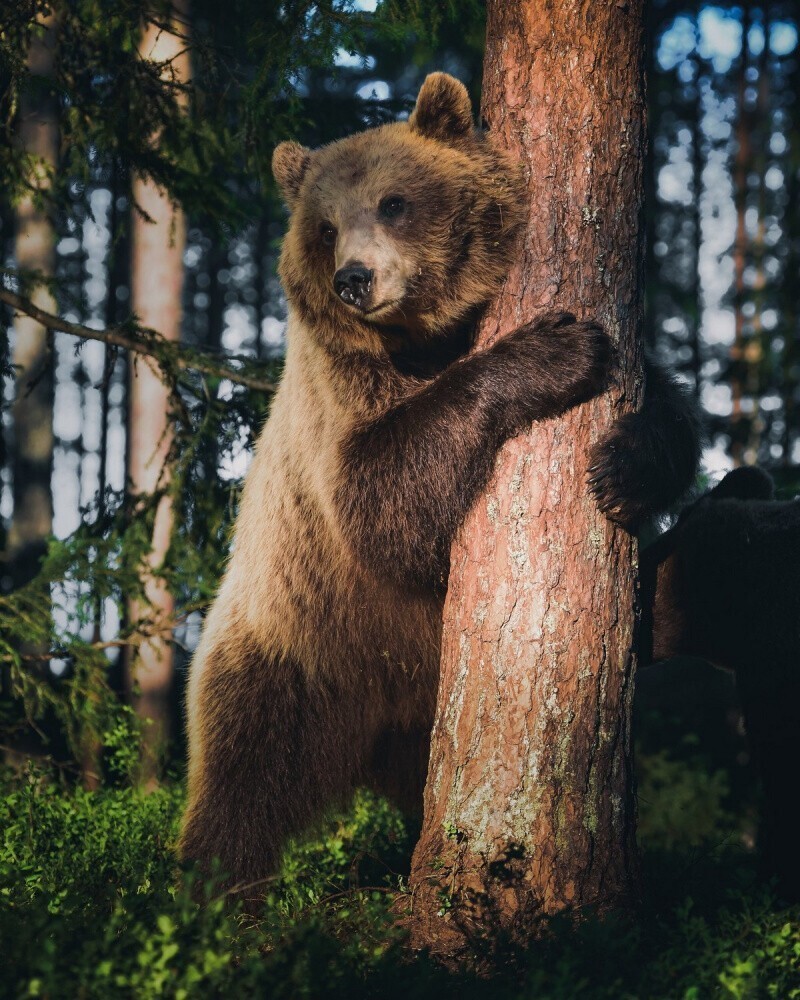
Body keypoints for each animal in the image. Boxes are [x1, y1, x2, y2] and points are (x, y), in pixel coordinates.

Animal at [180, 70, 700, 888]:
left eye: (393, 201)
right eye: (323, 226)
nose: (355, 279)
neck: (428, 336)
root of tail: (375, 724)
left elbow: (666, 407)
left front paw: (621, 469)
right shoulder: (345, 394)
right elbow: (380, 499)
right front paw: (554, 350)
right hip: (290, 647)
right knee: (240, 778)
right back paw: (212, 889)